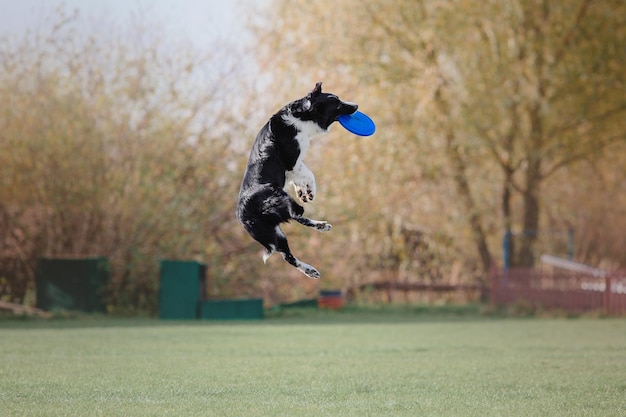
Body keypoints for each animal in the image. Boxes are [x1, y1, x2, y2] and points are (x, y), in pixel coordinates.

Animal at [235, 82, 356, 278]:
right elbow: (309, 174)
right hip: (278, 198)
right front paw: (310, 191)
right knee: (294, 214)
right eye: (337, 103)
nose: (356, 106)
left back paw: (312, 263)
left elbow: (300, 177)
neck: (303, 116)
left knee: (288, 254)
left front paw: (302, 192)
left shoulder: (293, 168)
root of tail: (242, 214)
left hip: (274, 233)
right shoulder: (292, 160)